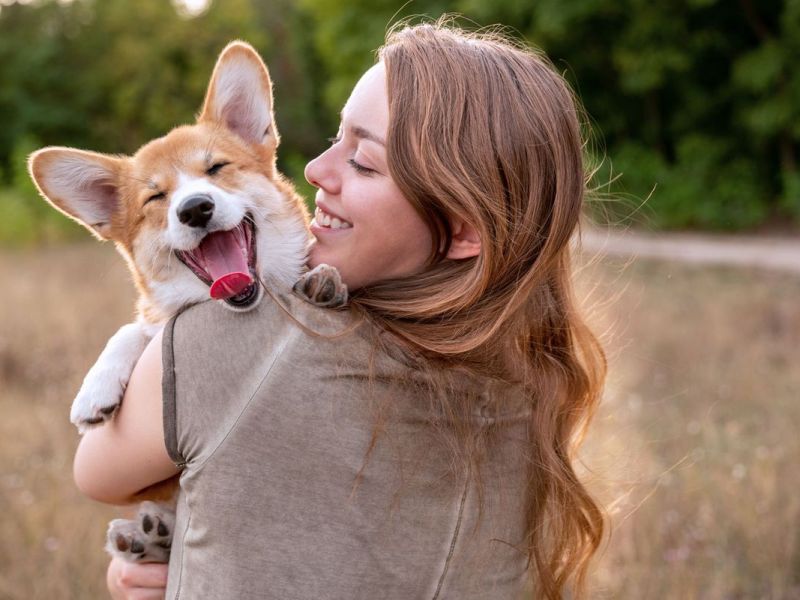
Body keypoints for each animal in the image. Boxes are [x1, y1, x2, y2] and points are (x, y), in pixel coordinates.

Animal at [27, 42, 346, 564]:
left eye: (216, 168)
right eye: (156, 197)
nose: (195, 208)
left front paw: (324, 280)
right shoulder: (156, 320)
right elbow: (133, 329)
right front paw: (94, 391)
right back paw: (144, 536)